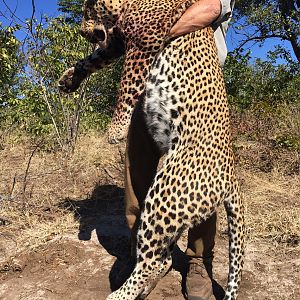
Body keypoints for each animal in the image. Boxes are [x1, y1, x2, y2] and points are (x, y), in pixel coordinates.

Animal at [58, 0, 244, 298]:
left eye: (87, 11)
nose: (83, 33)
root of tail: (231, 178)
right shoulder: (118, 42)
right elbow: (91, 59)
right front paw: (68, 79)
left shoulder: (145, 40)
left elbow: (126, 85)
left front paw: (116, 130)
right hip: (174, 211)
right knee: (161, 257)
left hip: (165, 195)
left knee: (155, 259)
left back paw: (120, 294)